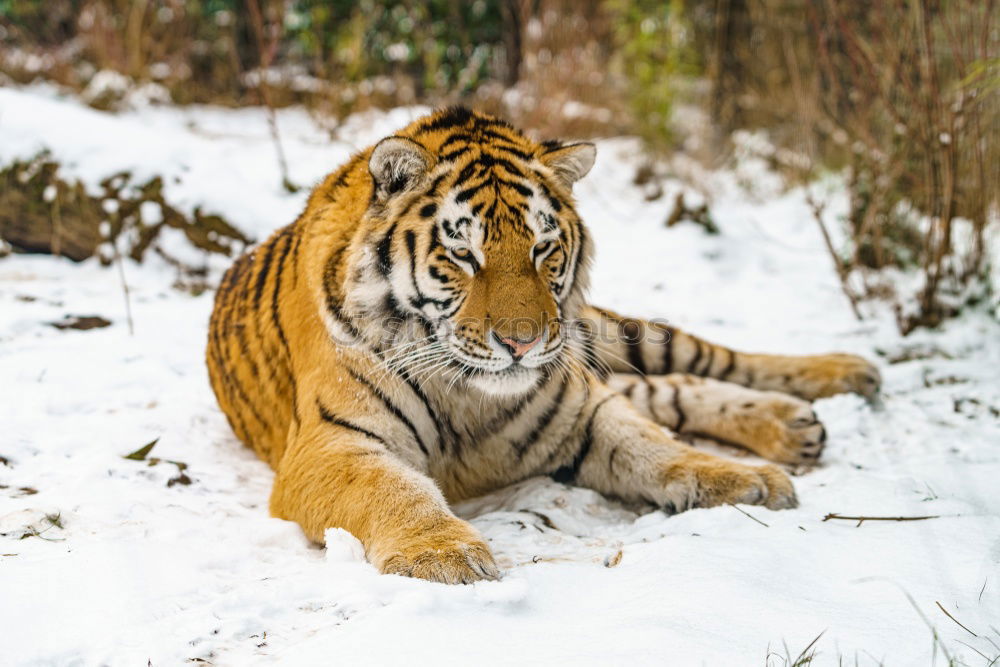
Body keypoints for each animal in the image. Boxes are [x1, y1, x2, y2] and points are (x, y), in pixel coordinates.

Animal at [207, 108, 880, 584]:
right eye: (463, 253)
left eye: (542, 248)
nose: (522, 342)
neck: (467, 396)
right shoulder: (330, 445)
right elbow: (392, 489)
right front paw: (443, 553)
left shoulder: (581, 407)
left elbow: (658, 448)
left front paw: (740, 478)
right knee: (672, 390)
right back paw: (796, 425)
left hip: (610, 335)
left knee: (704, 363)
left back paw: (843, 375)